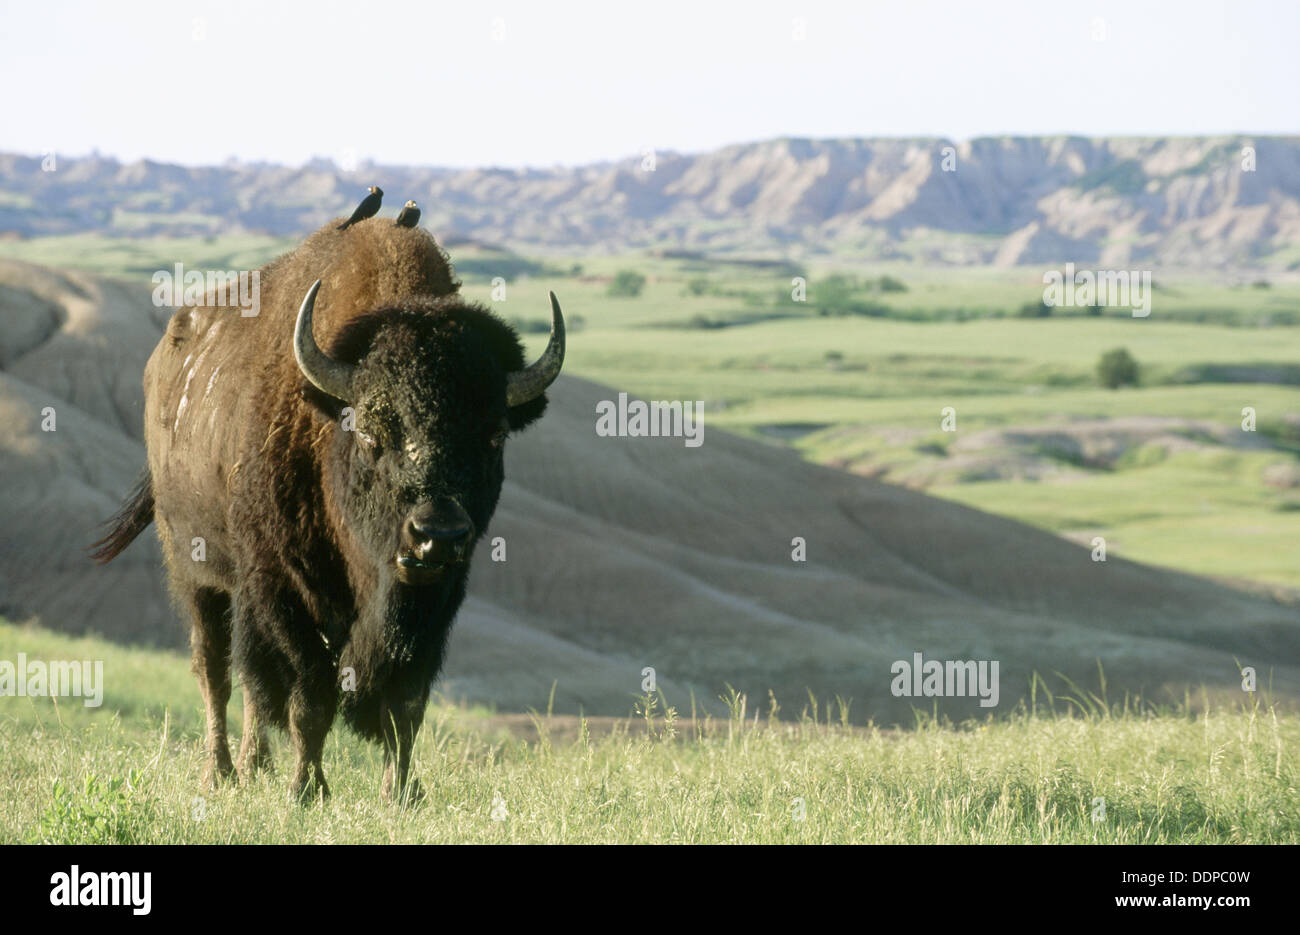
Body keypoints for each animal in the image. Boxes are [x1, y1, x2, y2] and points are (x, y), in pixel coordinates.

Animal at [92, 217, 565, 802]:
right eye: (370, 432)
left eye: (494, 436)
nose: (437, 534)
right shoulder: (285, 591)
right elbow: (309, 698)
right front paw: (307, 791)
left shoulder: (436, 604)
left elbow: (405, 706)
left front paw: (401, 794)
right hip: (195, 572)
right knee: (216, 670)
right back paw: (221, 772)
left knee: (249, 684)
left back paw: (255, 766)